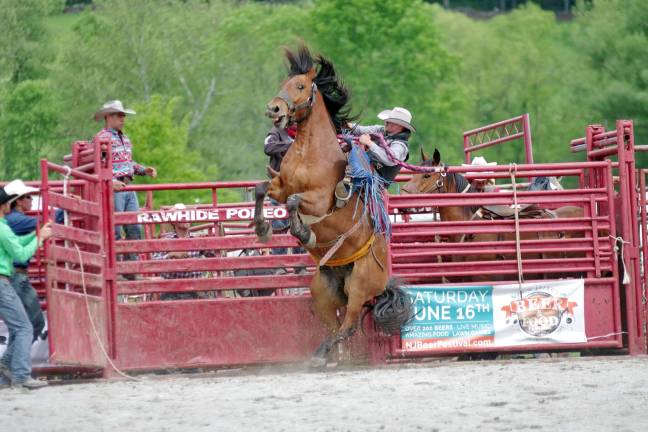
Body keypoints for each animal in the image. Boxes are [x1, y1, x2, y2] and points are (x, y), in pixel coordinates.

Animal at [253, 45, 411, 367]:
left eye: (301, 86)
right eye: (285, 83)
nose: (274, 109)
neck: (309, 154)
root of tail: (385, 281)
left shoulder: (319, 199)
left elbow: (295, 202)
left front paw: (303, 232)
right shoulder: (280, 185)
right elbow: (262, 189)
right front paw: (262, 228)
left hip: (359, 286)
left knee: (348, 325)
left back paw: (321, 355)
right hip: (322, 291)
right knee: (336, 324)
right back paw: (329, 357)